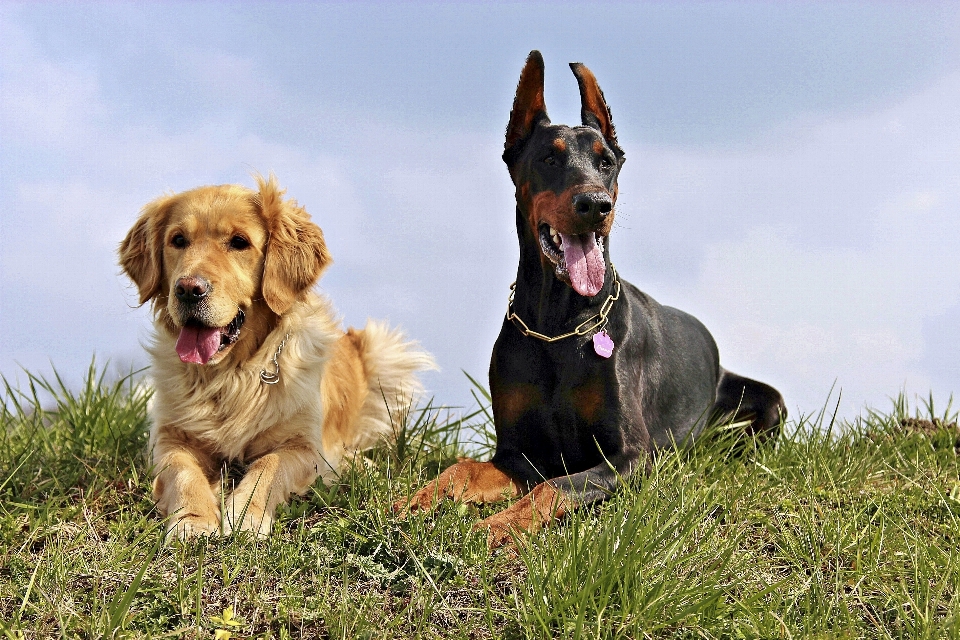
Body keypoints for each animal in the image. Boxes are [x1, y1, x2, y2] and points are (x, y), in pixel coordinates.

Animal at [121, 172, 436, 536]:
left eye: (239, 242)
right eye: (178, 240)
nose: (188, 289)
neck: (231, 375)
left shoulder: (305, 447)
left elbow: (269, 465)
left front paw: (246, 513)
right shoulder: (169, 437)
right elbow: (182, 471)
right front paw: (192, 520)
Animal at [402, 52, 784, 548]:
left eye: (606, 163)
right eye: (548, 157)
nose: (596, 205)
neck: (558, 325)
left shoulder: (629, 456)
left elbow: (554, 487)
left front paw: (498, 525)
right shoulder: (518, 454)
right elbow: (464, 468)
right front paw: (420, 498)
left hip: (767, 405)